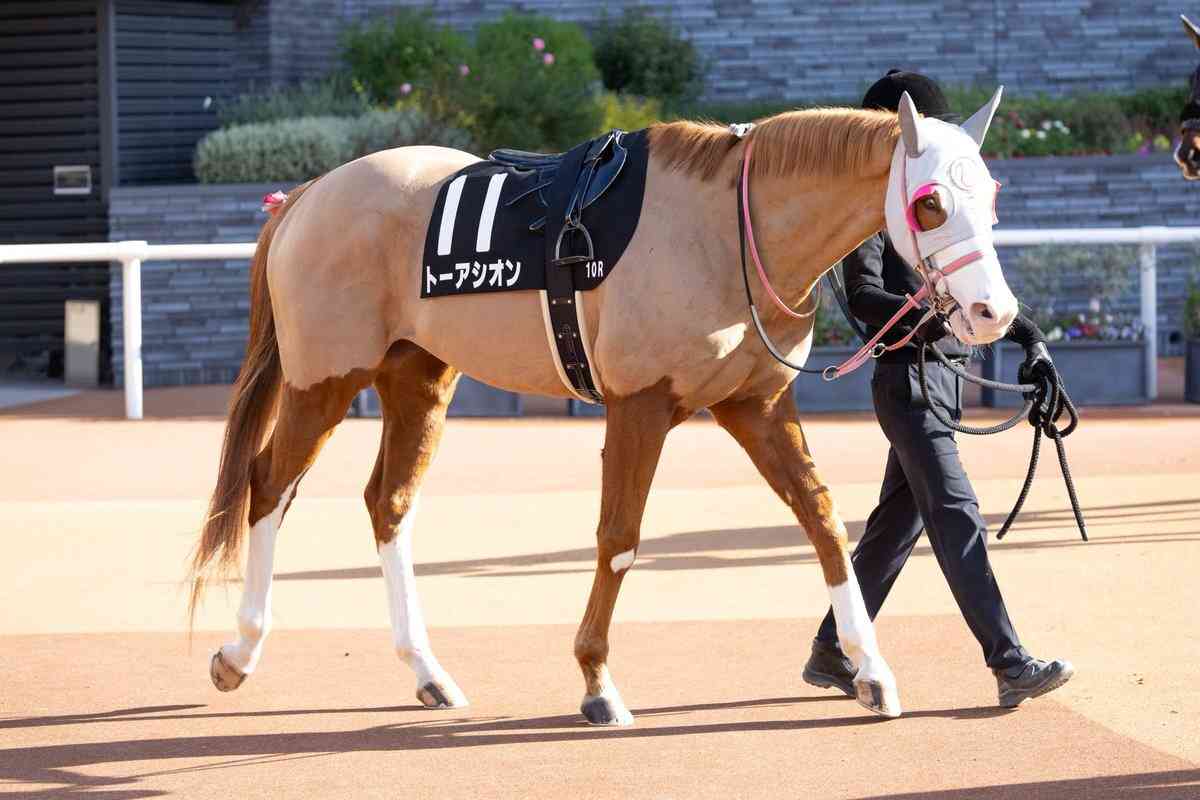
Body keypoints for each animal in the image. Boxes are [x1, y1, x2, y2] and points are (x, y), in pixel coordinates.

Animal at [191, 90, 1018, 725]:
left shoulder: (754, 402)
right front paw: (596, 684)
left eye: (993, 197)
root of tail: (308, 194)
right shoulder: (638, 404)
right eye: (930, 203)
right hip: (323, 381)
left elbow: (819, 517)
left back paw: (426, 671)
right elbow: (619, 537)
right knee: (267, 487)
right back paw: (238, 651)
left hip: (418, 379)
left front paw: (869, 670)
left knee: (387, 502)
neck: (724, 230)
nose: (994, 313)